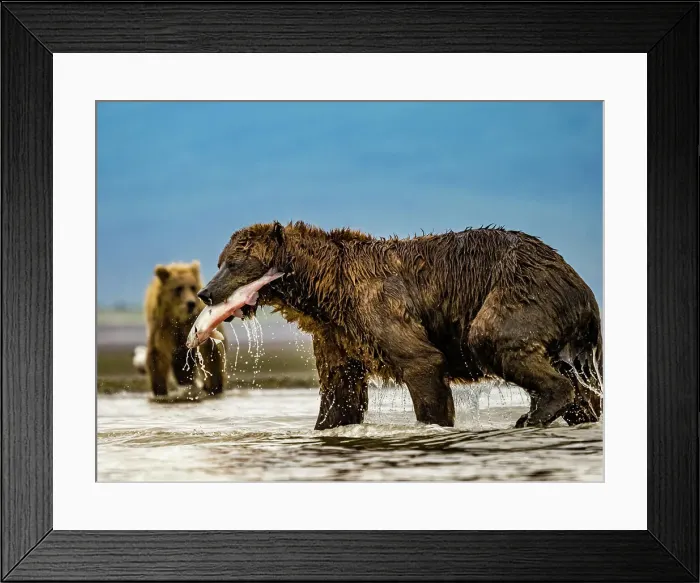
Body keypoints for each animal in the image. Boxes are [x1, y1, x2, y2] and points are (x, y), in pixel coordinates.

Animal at [144, 260, 226, 398]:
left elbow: (210, 352)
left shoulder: (195, 324)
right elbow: (158, 353)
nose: (191, 303)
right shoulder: (163, 327)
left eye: (192, 287)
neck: (179, 319)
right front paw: (160, 389)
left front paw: (215, 386)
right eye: (178, 288)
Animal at [197, 221, 603, 430]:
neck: (325, 290)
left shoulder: (378, 305)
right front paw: (328, 425)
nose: (205, 293)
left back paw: (531, 416)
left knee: (491, 338)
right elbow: (339, 392)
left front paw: (433, 425)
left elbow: (422, 362)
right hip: (569, 333)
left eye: (234, 262)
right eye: (221, 261)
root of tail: (581, 286)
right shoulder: (338, 334)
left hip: (519, 291)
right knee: (583, 383)